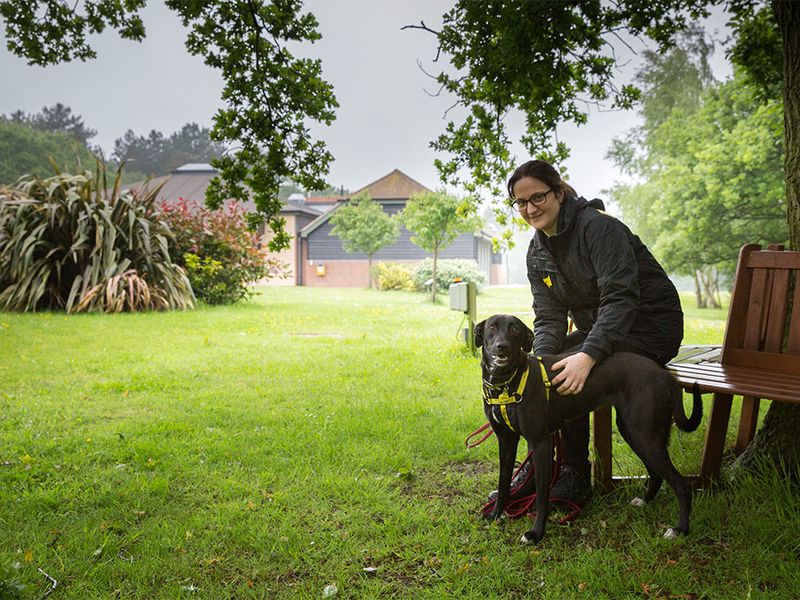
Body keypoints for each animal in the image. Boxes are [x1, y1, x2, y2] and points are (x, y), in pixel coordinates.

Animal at [476, 314, 700, 544]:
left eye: (515, 330)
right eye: (492, 327)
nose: (501, 346)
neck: (506, 382)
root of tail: (665, 374)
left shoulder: (540, 443)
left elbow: (541, 496)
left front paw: (536, 533)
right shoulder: (506, 441)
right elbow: (503, 483)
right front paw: (495, 514)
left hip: (645, 436)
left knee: (681, 485)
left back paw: (680, 529)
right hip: (635, 432)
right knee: (656, 474)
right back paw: (645, 501)